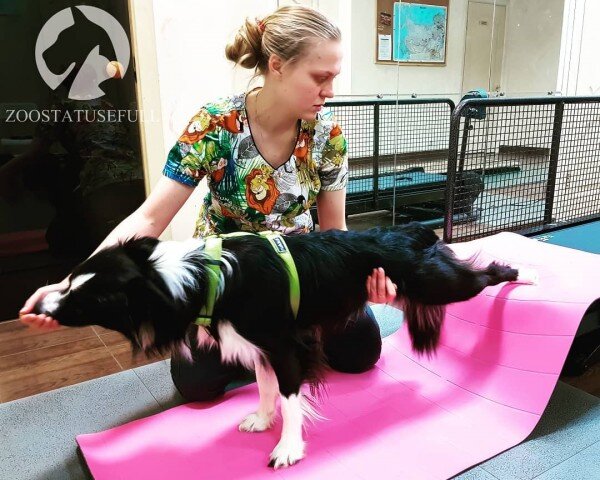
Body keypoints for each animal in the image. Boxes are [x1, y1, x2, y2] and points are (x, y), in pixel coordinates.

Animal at [35, 223, 521, 468]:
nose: (42, 304)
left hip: (437, 283)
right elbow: (267, 387)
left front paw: (288, 448)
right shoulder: (259, 344)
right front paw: (261, 419)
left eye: (91, 300)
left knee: (478, 275)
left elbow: (290, 398)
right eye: (70, 281)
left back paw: (515, 272)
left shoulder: (286, 345)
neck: (194, 278)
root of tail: (414, 232)